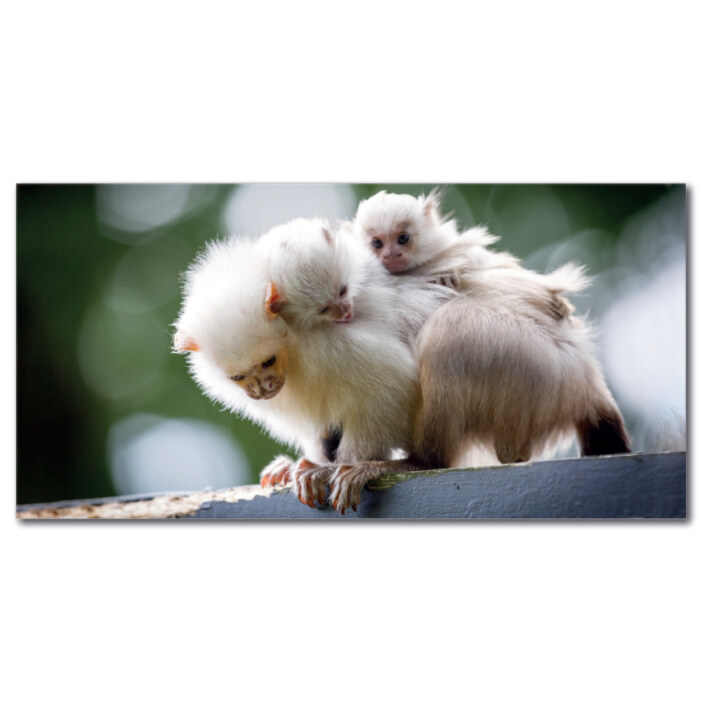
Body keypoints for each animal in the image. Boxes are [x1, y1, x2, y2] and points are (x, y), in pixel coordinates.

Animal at [173, 218, 457, 507]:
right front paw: (298, 466)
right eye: (238, 377)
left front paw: (340, 468)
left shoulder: (333, 347)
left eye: (268, 362)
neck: (292, 348)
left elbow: (390, 386)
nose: (263, 389)